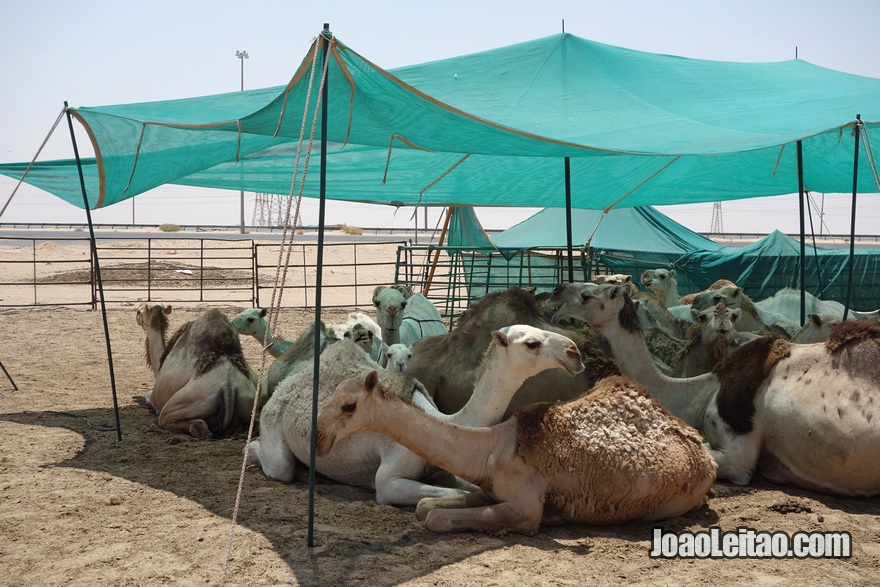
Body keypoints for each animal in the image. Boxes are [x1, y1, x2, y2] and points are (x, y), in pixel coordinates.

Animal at [141, 310, 256, 438]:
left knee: (171, 420)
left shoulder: (154, 398)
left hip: (180, 404)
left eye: (140, 313)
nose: (138, 318)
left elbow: (147, 396)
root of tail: (228, 388)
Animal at [248, 324, 588, 508]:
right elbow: (454, 492)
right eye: (532, 343)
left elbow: (469, 485)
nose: (574, 352)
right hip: (273, 421)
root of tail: (283, 385)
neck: (446, 421)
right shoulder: (389, 479)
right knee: (277, 463)